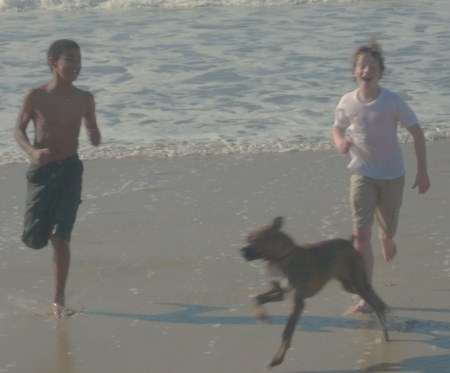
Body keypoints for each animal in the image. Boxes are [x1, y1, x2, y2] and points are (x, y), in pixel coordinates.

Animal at [241, 217, 388, 364]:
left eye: (254, 240)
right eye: (247, 239)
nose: (241, 251)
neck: (282, 258)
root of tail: (349, 243)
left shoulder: (297, 303)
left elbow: (287, 331)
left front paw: (278, 358)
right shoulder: (279, 294)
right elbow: (256, 299)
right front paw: (261, 316)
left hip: (357, 284)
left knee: (375, 302)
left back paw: (384, 326)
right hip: (350, 285)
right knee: (374, 298)